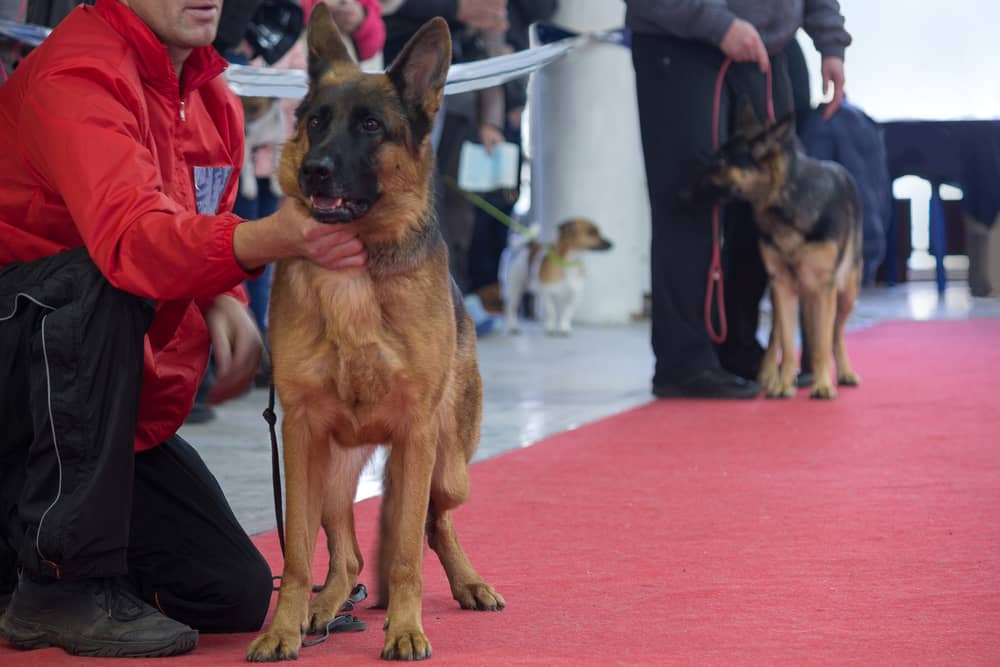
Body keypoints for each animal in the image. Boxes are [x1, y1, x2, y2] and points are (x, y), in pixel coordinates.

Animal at [247, 6, 504, 664]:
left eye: (370, 126)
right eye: (315, 121)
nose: (313, 171)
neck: (355, 269)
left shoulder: (415, 435)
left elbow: (409, 551)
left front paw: (406, 629)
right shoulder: (301, 434)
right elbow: (294, 555)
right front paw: (281, 629)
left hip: (448, 466)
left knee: (436, 523)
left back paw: (467, 583)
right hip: (333, 473)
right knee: (349, 556)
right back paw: (322, 610)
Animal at [692, 102, 864, 400]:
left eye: (721, 163)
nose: (685, 192)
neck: (786, 200)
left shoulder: (824, 286)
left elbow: (821, 341)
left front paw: (822, 385)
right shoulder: (782, 285)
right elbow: (786, 340)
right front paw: (783, 384)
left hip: (846, 292)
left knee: (835, 333)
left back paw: (842, 372)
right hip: (781, 292)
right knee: (777, 336)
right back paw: (771, 374)